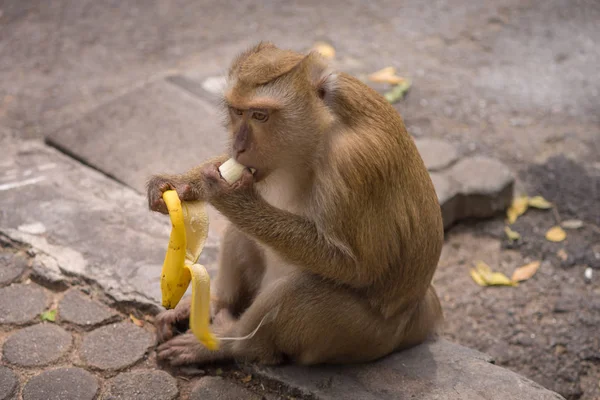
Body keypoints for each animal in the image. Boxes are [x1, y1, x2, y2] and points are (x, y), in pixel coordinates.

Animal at [147, 42, 442, 368]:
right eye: (238, 112)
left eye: (260, 116)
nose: (238, 146)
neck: (321, 134)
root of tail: (417, 316)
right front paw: (177, 182)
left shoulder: (355, 164)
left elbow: (358, 266)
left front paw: (230, 197)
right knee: (243, 232)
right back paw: (215, 303)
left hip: (367, 337)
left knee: (300, 289)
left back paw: (231, 344)